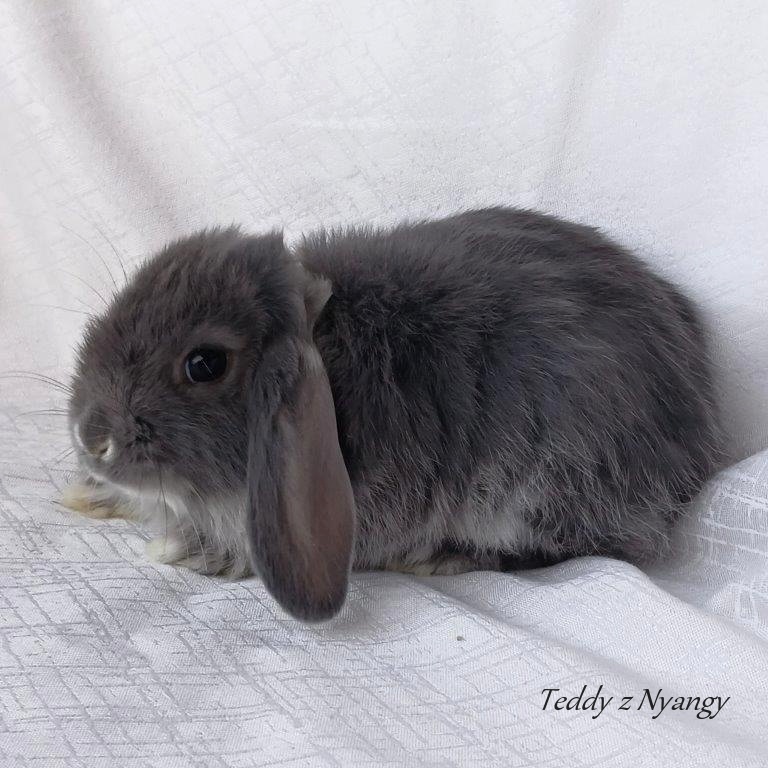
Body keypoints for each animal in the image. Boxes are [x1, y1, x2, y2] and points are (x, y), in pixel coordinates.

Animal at [63, 207, 722, 622]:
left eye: (204, 363)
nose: (91, 438)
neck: (336, 364)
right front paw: (88, 498)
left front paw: (186, 551)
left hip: (549, 486)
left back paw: (443, 556)